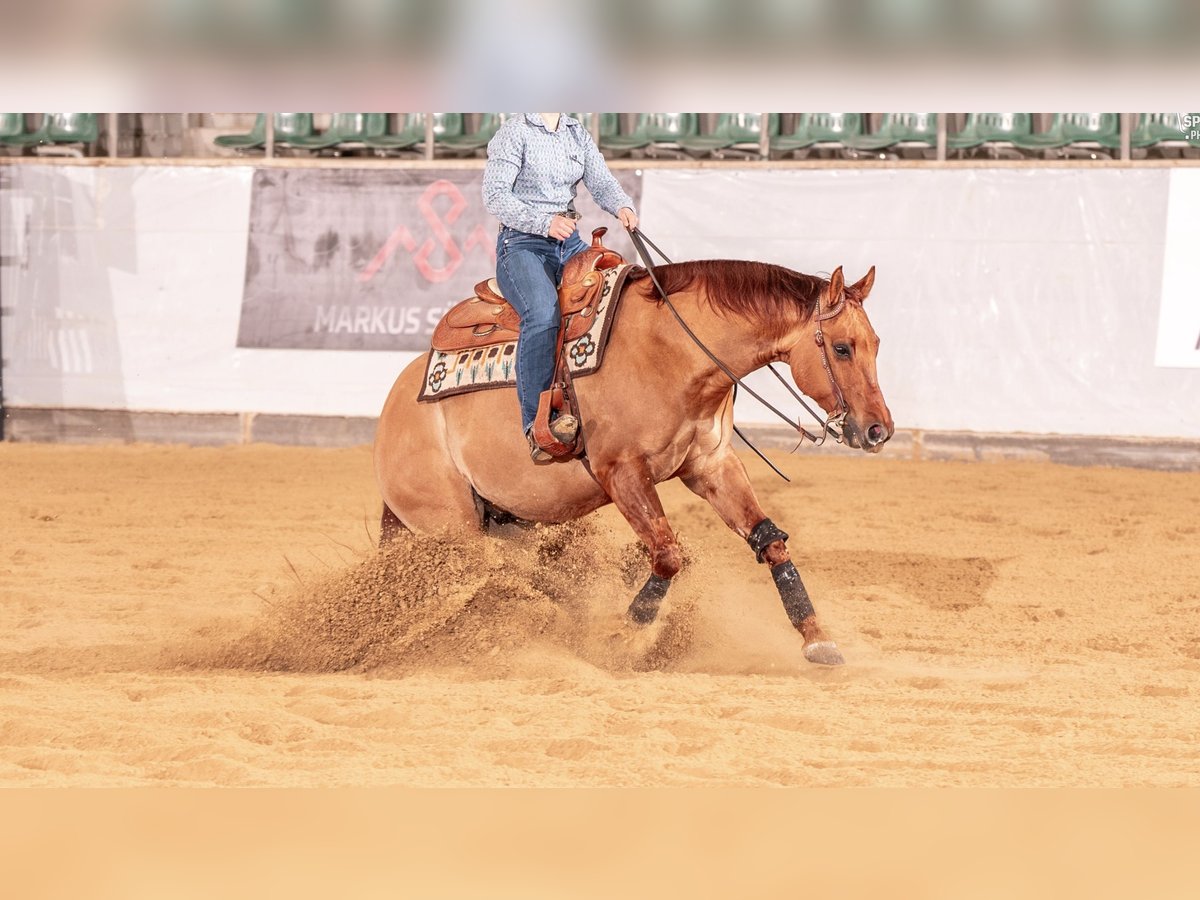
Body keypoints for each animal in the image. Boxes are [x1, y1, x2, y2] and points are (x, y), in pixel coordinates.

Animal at [374, 256, 892, 667]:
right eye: (842, 347)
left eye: (876, 344)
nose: (878, 430)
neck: (673, 352)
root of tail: (393, 412)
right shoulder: (622, 473)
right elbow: (667, 555)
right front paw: (622, 636)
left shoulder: (712, 465)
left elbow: (771, 542)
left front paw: (817, 639)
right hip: (452, 526)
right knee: (483, 579)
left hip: (507, 520)